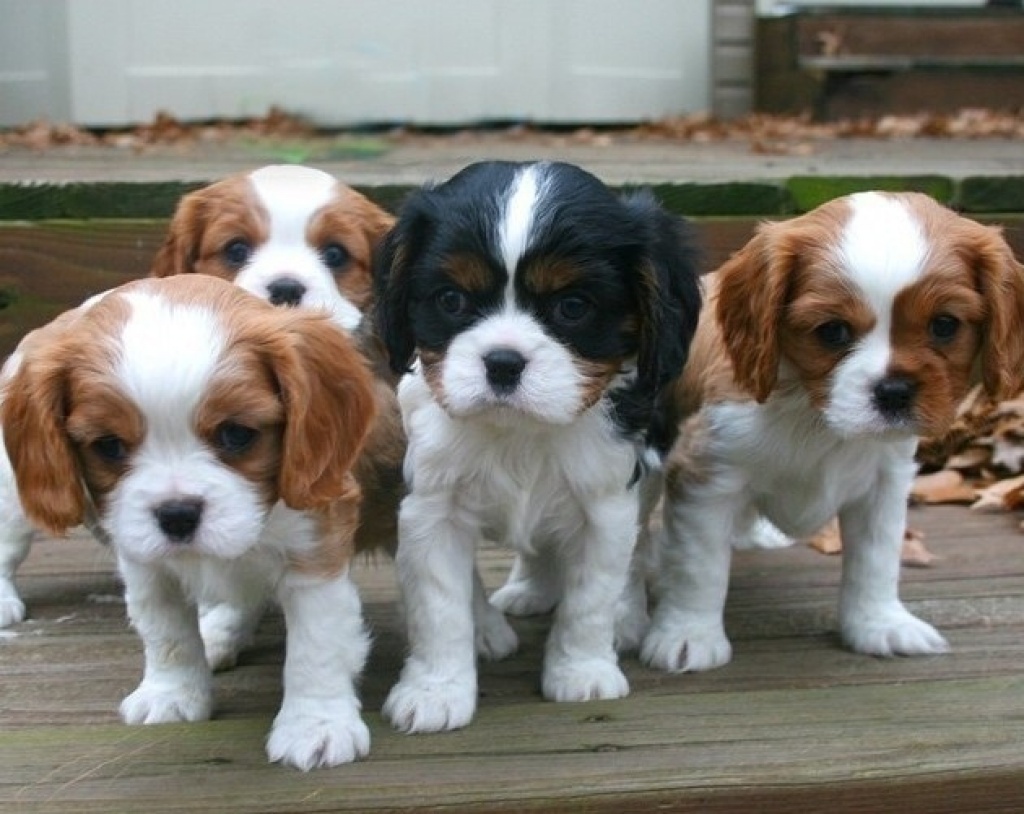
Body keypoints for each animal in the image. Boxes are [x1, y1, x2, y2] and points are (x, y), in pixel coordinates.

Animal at [2, 274, 385, 769]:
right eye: (108, 446)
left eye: (236, 434)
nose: (177, 514)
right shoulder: (145, 564)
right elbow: (166, 631)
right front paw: (173, 694)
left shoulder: (314, 550)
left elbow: (316, 646)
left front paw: (315, 726)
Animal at [376, 160, 704, 733]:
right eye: (451, 300)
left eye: (572, 307)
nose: (503, 362)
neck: (521, 433)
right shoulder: (432, 510)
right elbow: (439, 607)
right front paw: (436, 690)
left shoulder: (607, 504)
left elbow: (590, 597)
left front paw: (582, 671)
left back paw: (625, 615)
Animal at [638, 192, 1024, 675]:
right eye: (832, 331)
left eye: (944, 325)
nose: (894, 391)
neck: (816, 415)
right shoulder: (707, 474)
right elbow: (698, 565)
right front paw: (689, 636)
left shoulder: (883, 485)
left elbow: (876, 560)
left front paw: (879, 624)